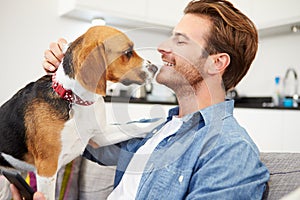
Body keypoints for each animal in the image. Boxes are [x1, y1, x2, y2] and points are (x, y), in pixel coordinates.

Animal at [0, 25, 158, 198]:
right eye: (128, 52)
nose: (156, 68)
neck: (76, 101)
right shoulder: (47, 169)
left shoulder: (100, 136)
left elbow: (134, 128)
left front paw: (162, 119)